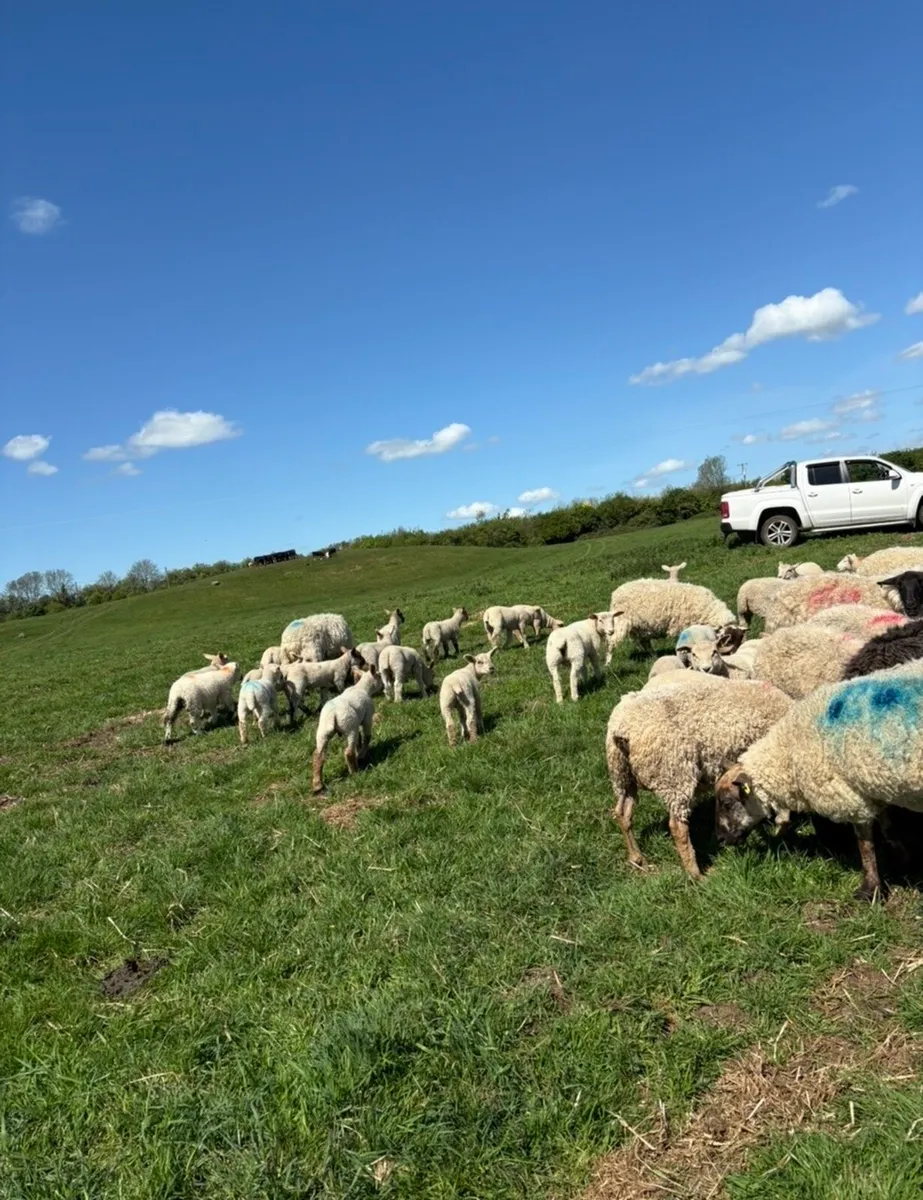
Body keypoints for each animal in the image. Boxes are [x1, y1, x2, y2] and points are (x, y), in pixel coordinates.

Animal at [606, 580, 736, 657]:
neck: (707, 609)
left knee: (645, 643)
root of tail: (615, 594)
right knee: (611, 642)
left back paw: (654, 656)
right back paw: (608, 663)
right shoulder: (682, 626)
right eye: (727, 639)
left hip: (641, 627)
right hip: (621, 622)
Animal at [606, 675, 792, 879]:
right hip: (674, 775)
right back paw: (696, 874)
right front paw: (780, 832)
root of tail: (621, 730)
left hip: (622, 775)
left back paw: (636, 858)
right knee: (677, 827)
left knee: (622, 813)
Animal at [715, 660, 923, 899]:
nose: (720, 839)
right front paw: (902, 859)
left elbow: (865, 844)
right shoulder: (871, 787)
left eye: (727, 803)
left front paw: (870, 889)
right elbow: (887, 826)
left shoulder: (849, 795)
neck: (788, 754)